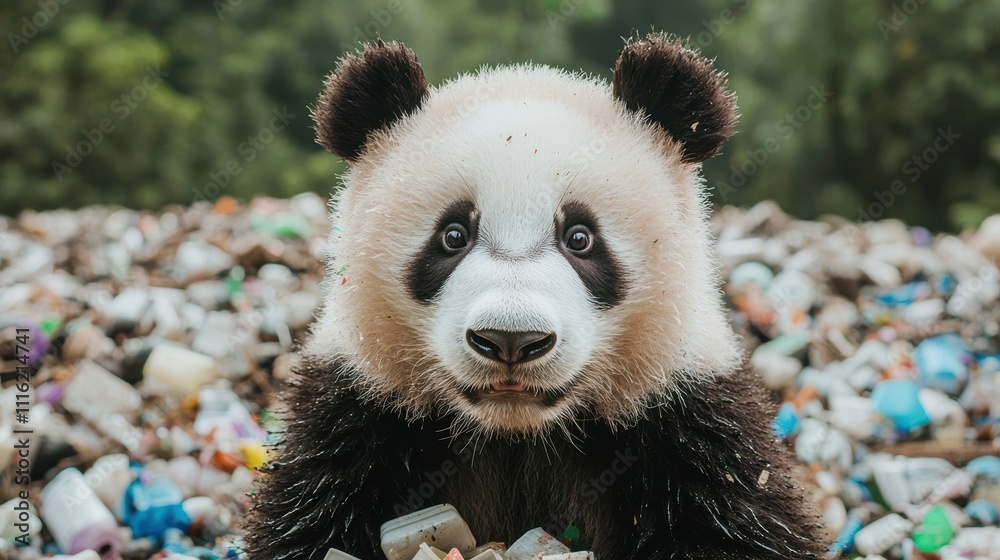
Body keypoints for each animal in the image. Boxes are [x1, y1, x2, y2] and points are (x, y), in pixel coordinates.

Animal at [242, 34, 823, 559]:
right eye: (453, 235)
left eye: (580, 238)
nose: (510, 339)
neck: (515, 435)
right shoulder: (356, 411)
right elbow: (310, 517)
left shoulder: (688, 416)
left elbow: (741, 522)